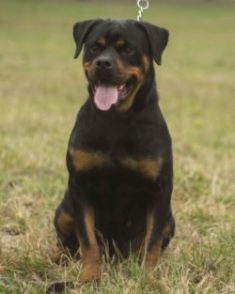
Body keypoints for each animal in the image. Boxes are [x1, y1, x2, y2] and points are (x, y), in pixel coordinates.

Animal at [53, 19, 174, 284]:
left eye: (128, 49)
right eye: (94, 47)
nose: (103, 63)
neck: (117, 119)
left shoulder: (160, 190)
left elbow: (152, 242)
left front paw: (148, 279)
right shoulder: (80, 185)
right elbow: (87, 240)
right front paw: (89, 277)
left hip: (170, 221)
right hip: (64, 211)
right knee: (68, 243)